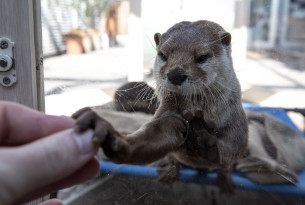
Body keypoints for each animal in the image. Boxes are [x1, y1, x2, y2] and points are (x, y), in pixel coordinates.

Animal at [73, 20, 247, 193]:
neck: (200, 111)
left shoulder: (236, 125)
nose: (175, 74)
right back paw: (170, 172)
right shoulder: (168, 112)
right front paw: (113, 138)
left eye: (202, 57)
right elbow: (155, 136)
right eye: (163, 55)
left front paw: (204, 140)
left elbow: (232, 151)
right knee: (172, 158)